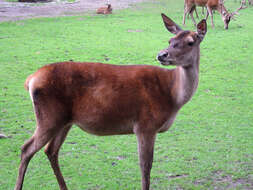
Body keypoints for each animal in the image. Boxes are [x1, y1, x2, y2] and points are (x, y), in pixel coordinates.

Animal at [13, 13, 207, 190]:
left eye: (190, 42)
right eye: (170, 39)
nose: (162, 55)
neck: (172, 96)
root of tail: (30, 80)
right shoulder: (145, 125)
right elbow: (145, 167)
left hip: (64, 121)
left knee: (51, 150)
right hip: (49, 118)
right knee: (26, 148)